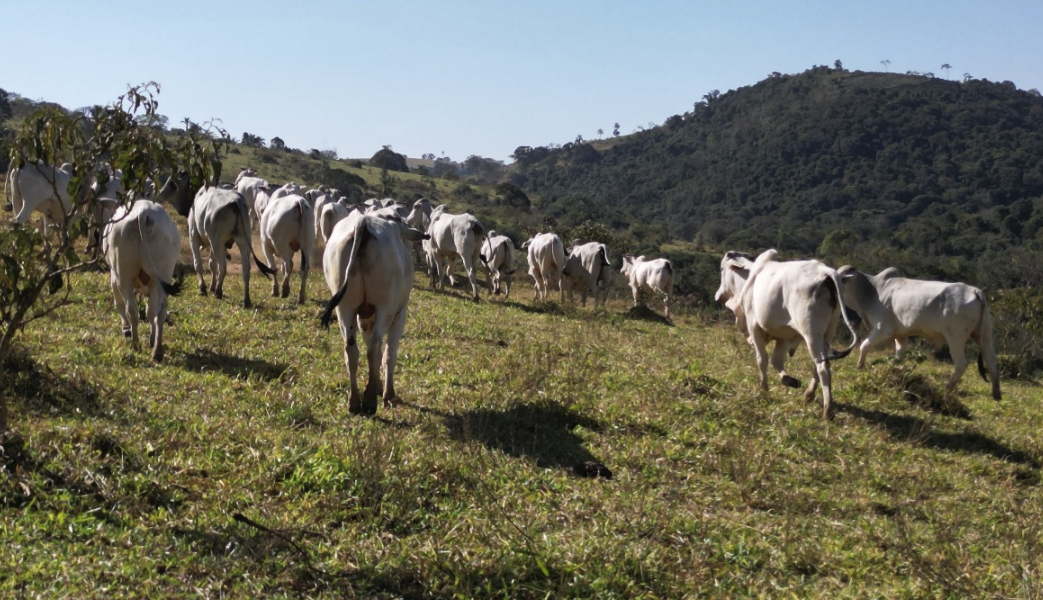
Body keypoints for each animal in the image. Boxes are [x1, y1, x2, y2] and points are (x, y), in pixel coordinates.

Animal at [102, 200, 183, 361]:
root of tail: (143, 212)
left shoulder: (114, 277)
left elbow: (119, 304)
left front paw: (126, 329)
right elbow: (150, 312)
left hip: (124, 276)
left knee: (131, 310)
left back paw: (135, 343)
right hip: (163, 273)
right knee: (160, 311)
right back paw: (157, 350)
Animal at [154, 171, 275, 306]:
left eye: (171, 183)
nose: (158, 195)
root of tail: (236, 202)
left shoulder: (194, 238)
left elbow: (199, 264)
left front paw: (203, 288)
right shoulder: (217, 244)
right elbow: (212, 264)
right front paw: (212, 285)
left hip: (217, 243)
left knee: (223, 267)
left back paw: (218, 292)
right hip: (243, 242)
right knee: (245, 269)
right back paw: (246, 300)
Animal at [319, 210, 429, 413]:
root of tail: (363, 222)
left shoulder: (364, 317)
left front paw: (376, 384)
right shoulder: (400, 313)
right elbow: (389, 353)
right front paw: (387, 392)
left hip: (344, 308)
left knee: (352, 349)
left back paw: (355, 401)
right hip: (386, 307)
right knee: (376, 346)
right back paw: (370, 400)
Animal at [713, 248, 859, 417]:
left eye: (721, 269)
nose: (718, 296)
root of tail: (824, 271)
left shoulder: (754, 327)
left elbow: (762, 359)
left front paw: (764, 388)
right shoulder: (784, 337)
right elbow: (775, 360)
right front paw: (789, 380)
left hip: (811, 332)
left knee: (822, 366)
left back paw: (827, 410)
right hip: (828, 333)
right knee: (819, 363)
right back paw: (809, 394)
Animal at [834, 266, 997, 398]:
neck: (871, 291)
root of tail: (975, 291)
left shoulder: (883, 329)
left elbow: (864, 346)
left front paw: (860, 367)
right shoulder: (900, 335)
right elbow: (898, 356)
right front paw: (894, 372)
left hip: (955, 338)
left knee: (962, 363)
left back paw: (948, 387)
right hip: (985, 336)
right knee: (991, 361)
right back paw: (996, 394)